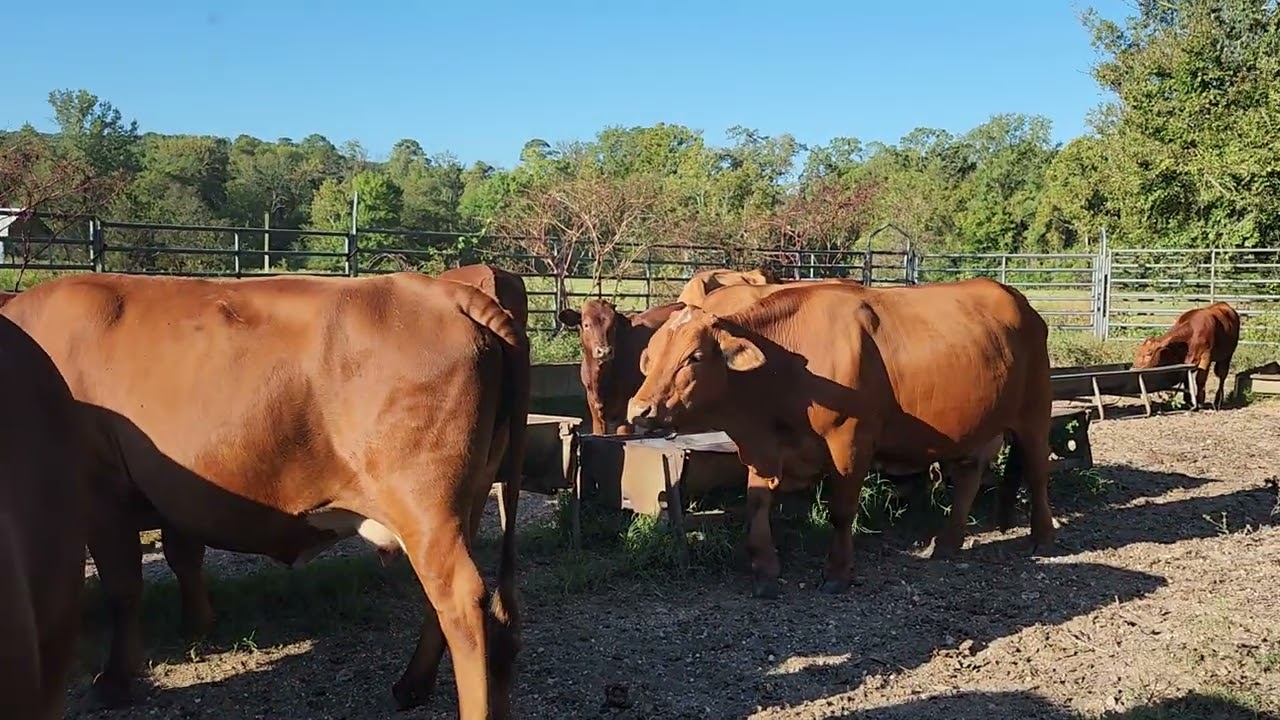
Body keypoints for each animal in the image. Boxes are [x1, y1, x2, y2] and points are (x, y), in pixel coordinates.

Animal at [0, 272, 530, 720]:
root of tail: (449, 293)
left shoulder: (101, 488)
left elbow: (124, 587)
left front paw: (114, 680)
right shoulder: (173, 492)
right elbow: (182, 554)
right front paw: (199, 623)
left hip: (424, 506)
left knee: (461, 602)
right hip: (464, 500)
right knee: (449, 604)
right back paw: (411, 685)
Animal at [625, 278, 1057, 599]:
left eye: (694, 357)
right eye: (651, 356)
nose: (639, 409)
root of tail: (1016, 299)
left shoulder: (849, 441)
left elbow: (842, 510)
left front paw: (837, 572)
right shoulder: (765, 449)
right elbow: (757, 504)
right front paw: (765, 569)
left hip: (1035, 412)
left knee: (1037, 474)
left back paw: (1043, 537)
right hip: (976, 425)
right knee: (969, 477)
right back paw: (948, 543)